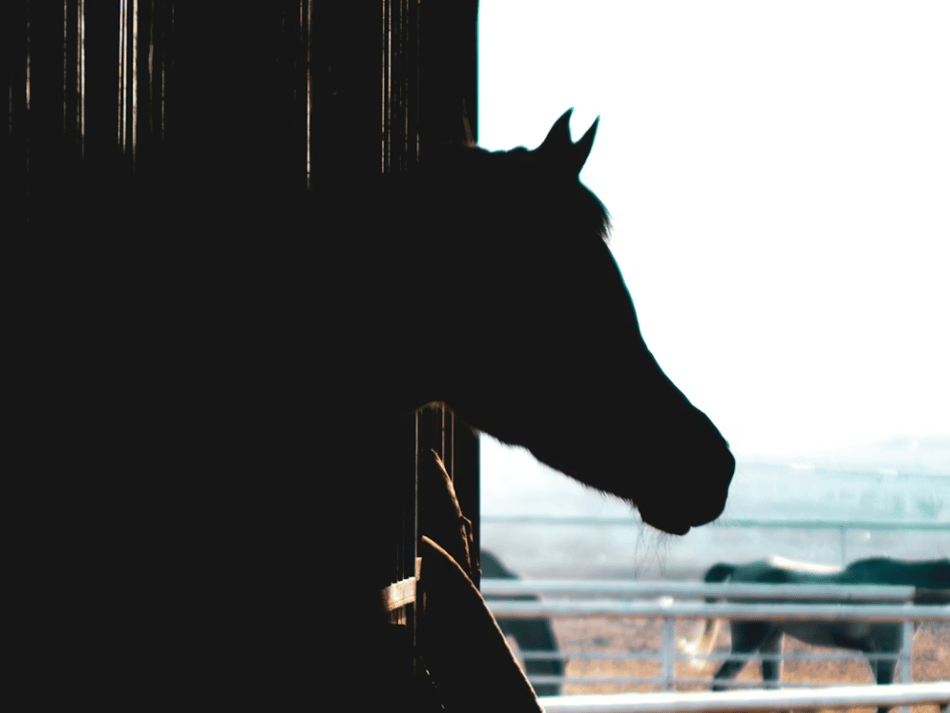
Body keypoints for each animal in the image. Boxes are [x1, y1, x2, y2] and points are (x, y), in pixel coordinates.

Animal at [685, 556, 949, 713]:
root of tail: (739, 567)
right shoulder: (887, 652)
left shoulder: (877, 654)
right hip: (749, 640)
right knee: (720, 681)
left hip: (771, 640)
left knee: (772, 687)